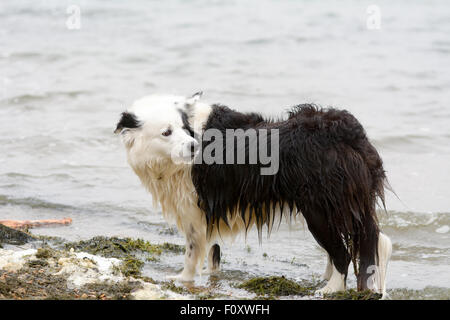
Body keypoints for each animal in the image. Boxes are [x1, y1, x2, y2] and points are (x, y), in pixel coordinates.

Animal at [114, 92, 392, 296]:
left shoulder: (195, 209)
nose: (194, 147)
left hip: (318, 209)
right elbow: (213, 251)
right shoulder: (213, 207)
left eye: (183, 128)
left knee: (343, 252)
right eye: (166, 132)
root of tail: (348, 133)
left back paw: (329, 289)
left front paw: (182, 279)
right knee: (369, 241)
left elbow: (192, 251)